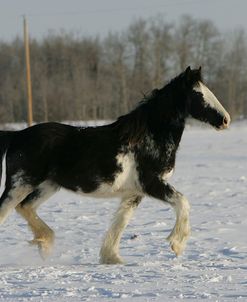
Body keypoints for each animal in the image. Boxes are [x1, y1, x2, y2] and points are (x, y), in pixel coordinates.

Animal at [0, 66, 231, 264]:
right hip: (19, 185)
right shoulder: (151, 183)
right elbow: (183, 202)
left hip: (47, 185)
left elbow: (120, 222)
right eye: (198, 95)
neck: (148, 137)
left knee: (25, 207)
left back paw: (45, 243)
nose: (225, 120)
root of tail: (17, 135)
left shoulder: (134, 192)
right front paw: (177, 244)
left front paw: (111, 257)